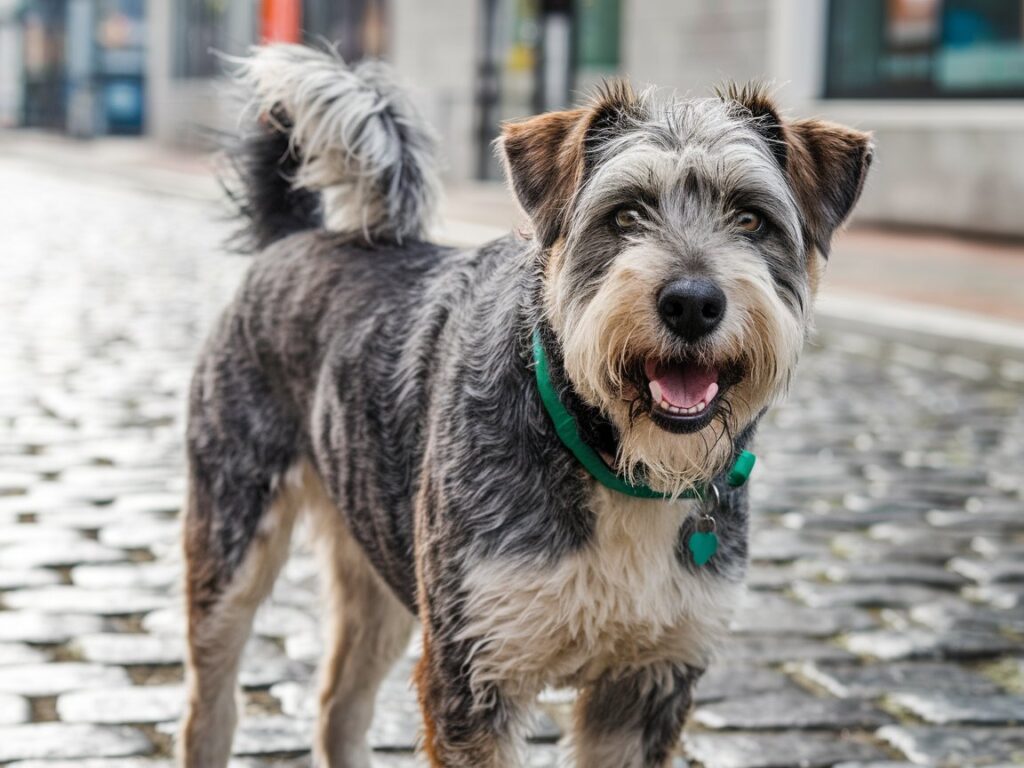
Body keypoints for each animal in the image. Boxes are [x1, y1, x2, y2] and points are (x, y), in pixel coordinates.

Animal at [178, 43, 872, 768]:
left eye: (750, 218)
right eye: (625, 214)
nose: (691, 302)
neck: (614, 463)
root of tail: (292, 236)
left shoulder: (650, 683)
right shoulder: (473, 671)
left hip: (380, 566)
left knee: (340, 706)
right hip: (231, 546)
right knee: (210, 707)